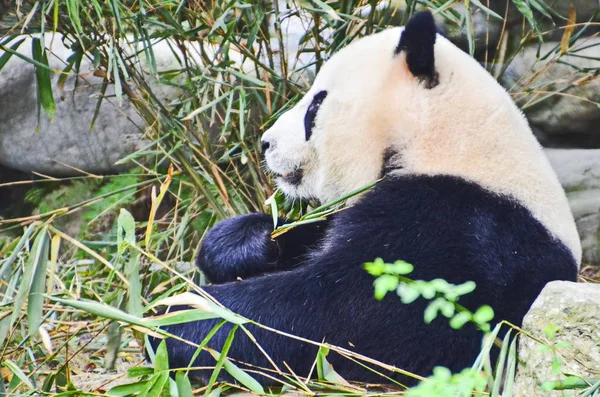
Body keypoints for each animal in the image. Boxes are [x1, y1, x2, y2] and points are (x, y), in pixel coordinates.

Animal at [151, 11, 580, 384]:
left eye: (316, 104)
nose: (266, 143)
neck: (443, 140)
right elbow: (309, 235)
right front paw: (242, 242)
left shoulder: (464, 229)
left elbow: (341, 318)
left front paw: (175, 316)